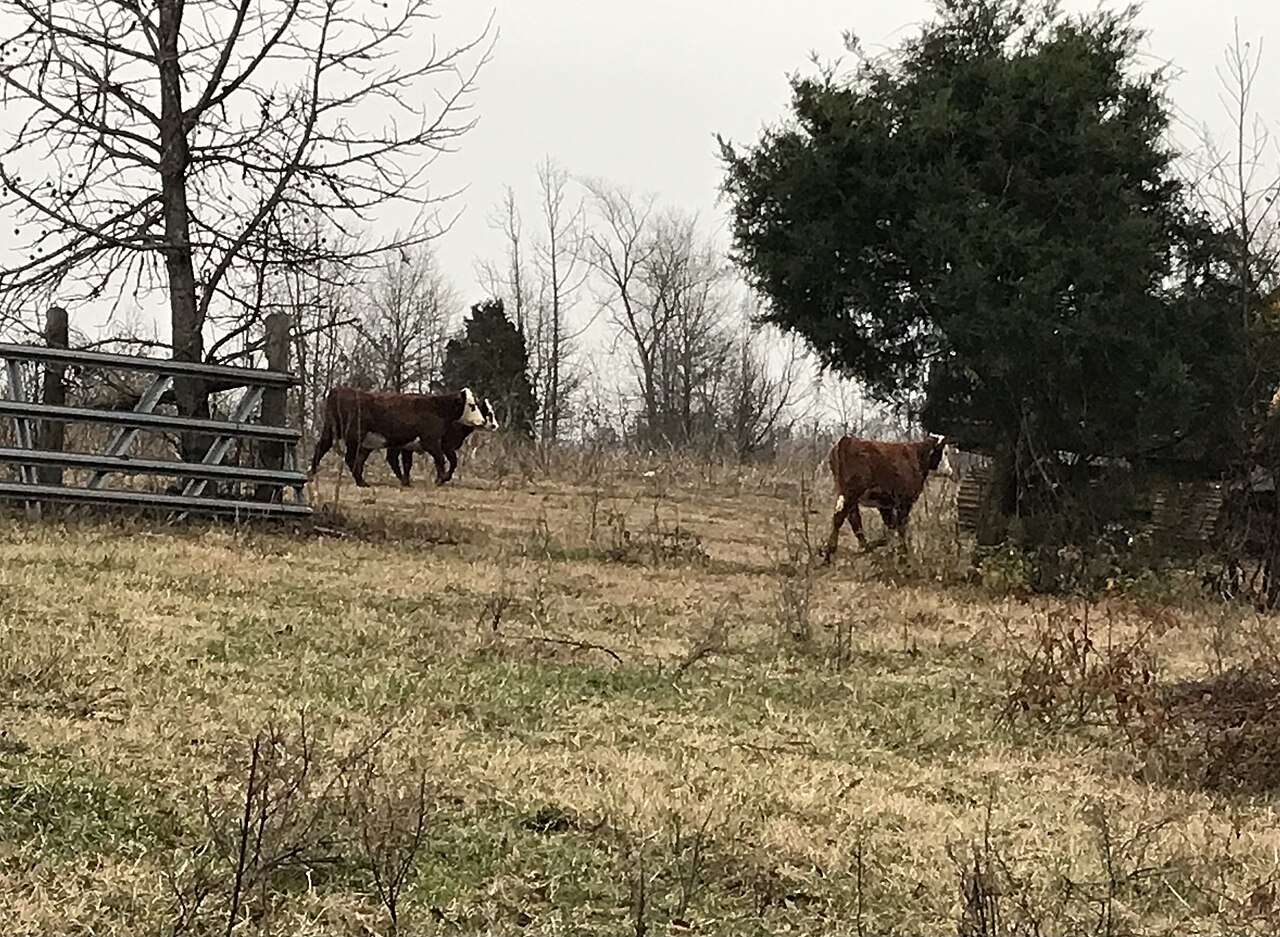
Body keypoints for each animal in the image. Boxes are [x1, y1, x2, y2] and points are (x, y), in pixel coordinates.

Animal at [307, 386, 495, 488]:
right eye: (471, 405)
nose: (483, 421)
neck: (436, 408)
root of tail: (338, 390)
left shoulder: (409, 445)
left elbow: (408, 463)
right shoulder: (432, 441)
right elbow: (442, 460)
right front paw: (440, 479)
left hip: (334, 433)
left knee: (322, 449)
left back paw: (313, 474)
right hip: (354, 437)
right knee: (349, 458)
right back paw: (360, 481)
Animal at [818, 433, 955, 563]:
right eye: (945, 452)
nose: (950, 470)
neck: (917, 457)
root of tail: (847, 440)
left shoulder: (884, 504)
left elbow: (891, 525)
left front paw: (892, 550)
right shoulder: (904, 501)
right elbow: (901, 527)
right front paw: (903, 554)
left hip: (847, 494)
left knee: (853, 520)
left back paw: (864, 548)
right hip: (852, 492)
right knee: (841, 518)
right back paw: (830, 553)